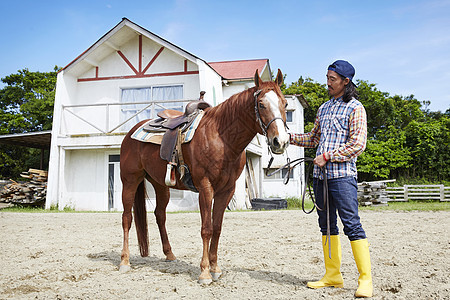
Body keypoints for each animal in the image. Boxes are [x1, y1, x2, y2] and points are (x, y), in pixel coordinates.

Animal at [118, 68, 288, 284]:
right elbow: (206, 228)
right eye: (261, 104)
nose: (280, 141)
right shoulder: (206, 188)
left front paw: (215, 268)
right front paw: (205, 272)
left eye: (285, 104)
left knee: (160, 215)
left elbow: (217, 228)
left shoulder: (226, 190)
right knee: (126, 218)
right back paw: (124, 261)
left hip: (161, 185)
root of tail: (130, 133)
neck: (221, 137)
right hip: (130, 181)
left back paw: (169, 254)